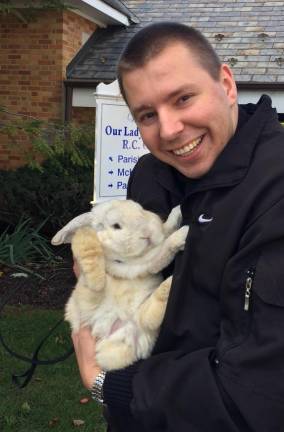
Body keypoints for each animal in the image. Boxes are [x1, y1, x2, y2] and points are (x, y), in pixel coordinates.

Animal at [51, 200, 189, 372]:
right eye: (116, 226)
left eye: (141, 209)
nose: (148, 233)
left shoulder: (148, 263)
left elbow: (164, 246)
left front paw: (177, 216)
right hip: (85, 300)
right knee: (95, 286)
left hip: (137, 319)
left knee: (148, 317)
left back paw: (170, 282)